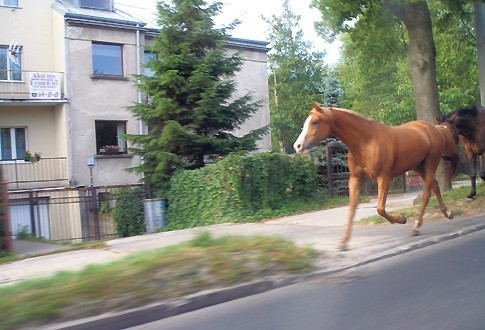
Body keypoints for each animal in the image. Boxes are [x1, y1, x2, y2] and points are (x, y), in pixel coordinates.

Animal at [294, 102, 460, 250]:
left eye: (315, 121)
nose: (298, 146)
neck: (366, 141)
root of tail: (435, 129)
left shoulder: (384, 178)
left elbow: (380, 209)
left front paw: (401, 219)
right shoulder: (355, 179)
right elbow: (352, 210)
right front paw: (343, 243)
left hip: (431, 163)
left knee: (426, 193)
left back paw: (416, 227)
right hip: (418, 166)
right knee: (435, 186)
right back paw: (448, 213)